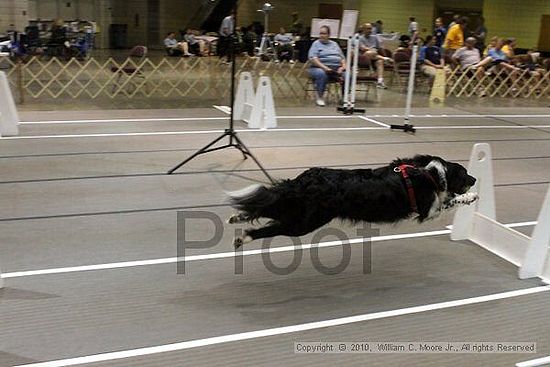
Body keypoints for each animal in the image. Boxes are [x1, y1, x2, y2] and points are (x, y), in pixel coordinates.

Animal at [229, 154, 478, 249]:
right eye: (466, 174)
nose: (475, 179)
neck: (430, 172)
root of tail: (306, 180)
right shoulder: (429, 210)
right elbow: (451, 199)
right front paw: (471, 196)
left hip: (299, 212)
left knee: (267, 207)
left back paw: (237, 217)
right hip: (305, 222)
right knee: (269, 226)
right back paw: (243, 237)